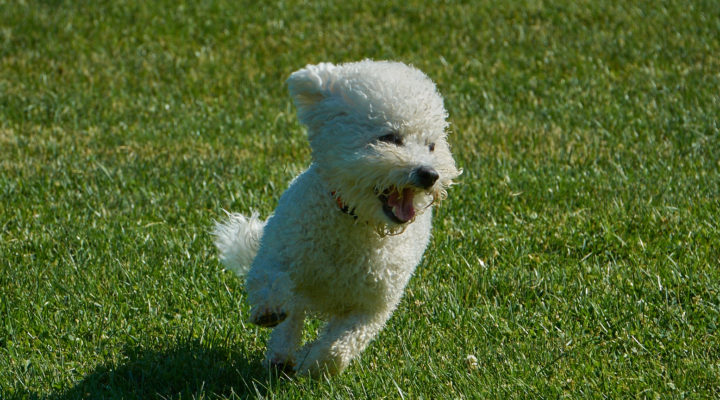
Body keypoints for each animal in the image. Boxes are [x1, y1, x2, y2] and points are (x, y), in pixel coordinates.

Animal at [214, 58, 462, 376]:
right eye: (389, 137)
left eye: (431, 145)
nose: (430, 174)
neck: (354, 222)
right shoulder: (279, 249)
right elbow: (271, 277)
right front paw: (269, 311)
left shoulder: (372, 306)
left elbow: (338, 348)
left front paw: (310, 361)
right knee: (292, 315)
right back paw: (280, 354)